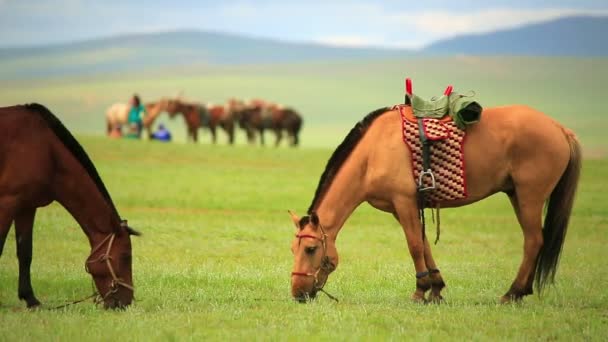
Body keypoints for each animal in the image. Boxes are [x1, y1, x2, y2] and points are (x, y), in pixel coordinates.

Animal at [0, 104, 140, 310]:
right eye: (125, 256)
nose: (126, 302)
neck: (48, 151)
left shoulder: (26, 206)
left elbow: (25, 251)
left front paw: (31, 299)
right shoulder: (7, 202)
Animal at [288, 105, 580, 304]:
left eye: (311, 249)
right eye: (293, 249)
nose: (298, 294)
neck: (371, 155)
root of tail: (560, 128)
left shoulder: (404, 201)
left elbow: (414, 246)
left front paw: (420, 292)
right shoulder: (399, 208)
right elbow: (424, 243)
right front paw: (436, 289)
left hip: (530, 196)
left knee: (533, 241)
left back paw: (512, 293)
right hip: (516, 194)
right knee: (535, 241)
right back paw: (522, 292)